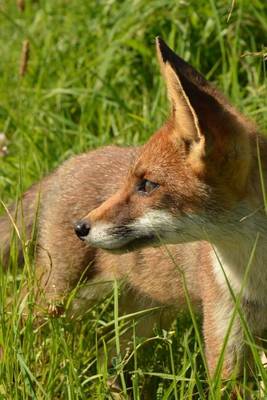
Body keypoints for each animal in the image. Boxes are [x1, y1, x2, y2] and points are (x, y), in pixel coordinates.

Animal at [0, 38, 267, 384]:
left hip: (140, 318)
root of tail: (66, 164)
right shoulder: (226, 344)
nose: (80, 227)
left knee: (104, 362)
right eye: (133, 181)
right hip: (56, 296)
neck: (258, 272)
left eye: (147, 184)